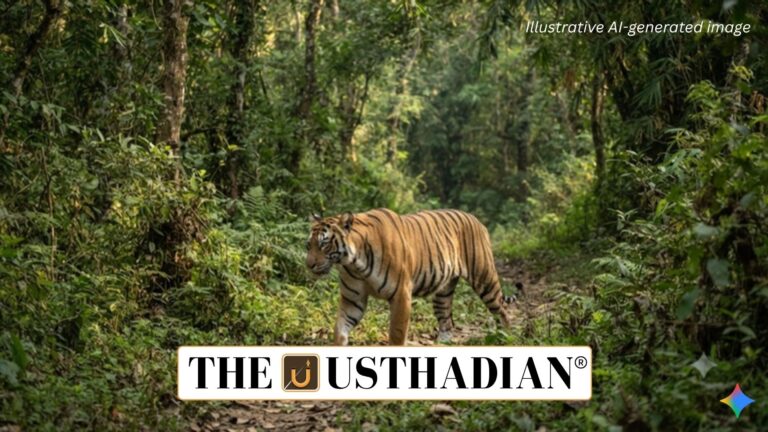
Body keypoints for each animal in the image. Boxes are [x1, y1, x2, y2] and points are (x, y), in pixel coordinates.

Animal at [305, 208, 513, 346]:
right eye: (309, 245)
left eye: (324, 244)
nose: (309, 265)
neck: (354, 263)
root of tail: (476, 219)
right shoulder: (352, 299)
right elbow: (340, 329)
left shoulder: (401, 295)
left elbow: (396, 334)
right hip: (443, 293)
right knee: (446, 322)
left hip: (484, 278)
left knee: (502, 310)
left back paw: (506, 337)